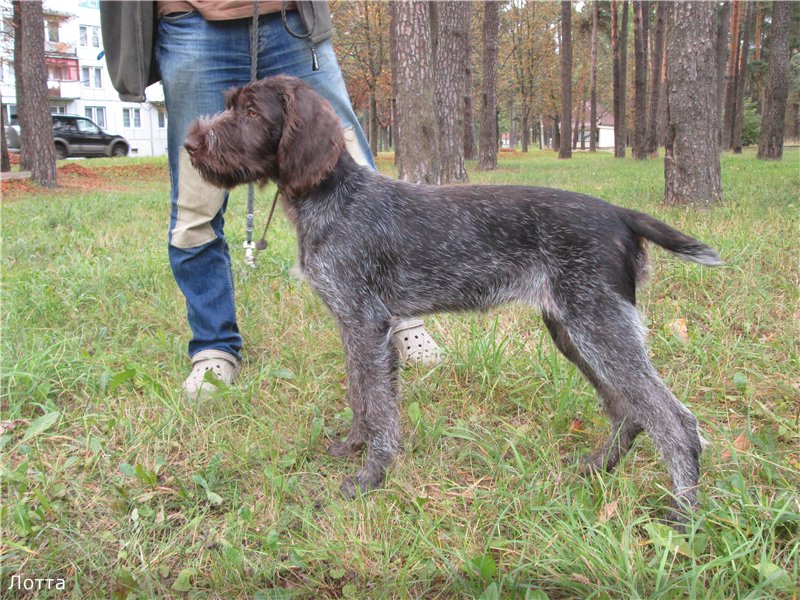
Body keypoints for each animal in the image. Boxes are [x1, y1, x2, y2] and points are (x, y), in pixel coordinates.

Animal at [185, 75, 722, 520]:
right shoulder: (353, 325)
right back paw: (600, 466)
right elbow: (360, 395)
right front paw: (354, 446)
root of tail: (619, 214)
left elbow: (379, 407)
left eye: (251, 111)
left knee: (676, 422)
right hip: (575, 332)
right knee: (629, 413)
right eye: (231, 105)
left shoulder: (367, 324)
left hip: (600, 328)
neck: (332, 197)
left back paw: (682, 514)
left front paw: (371, 477)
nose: (190, 143)